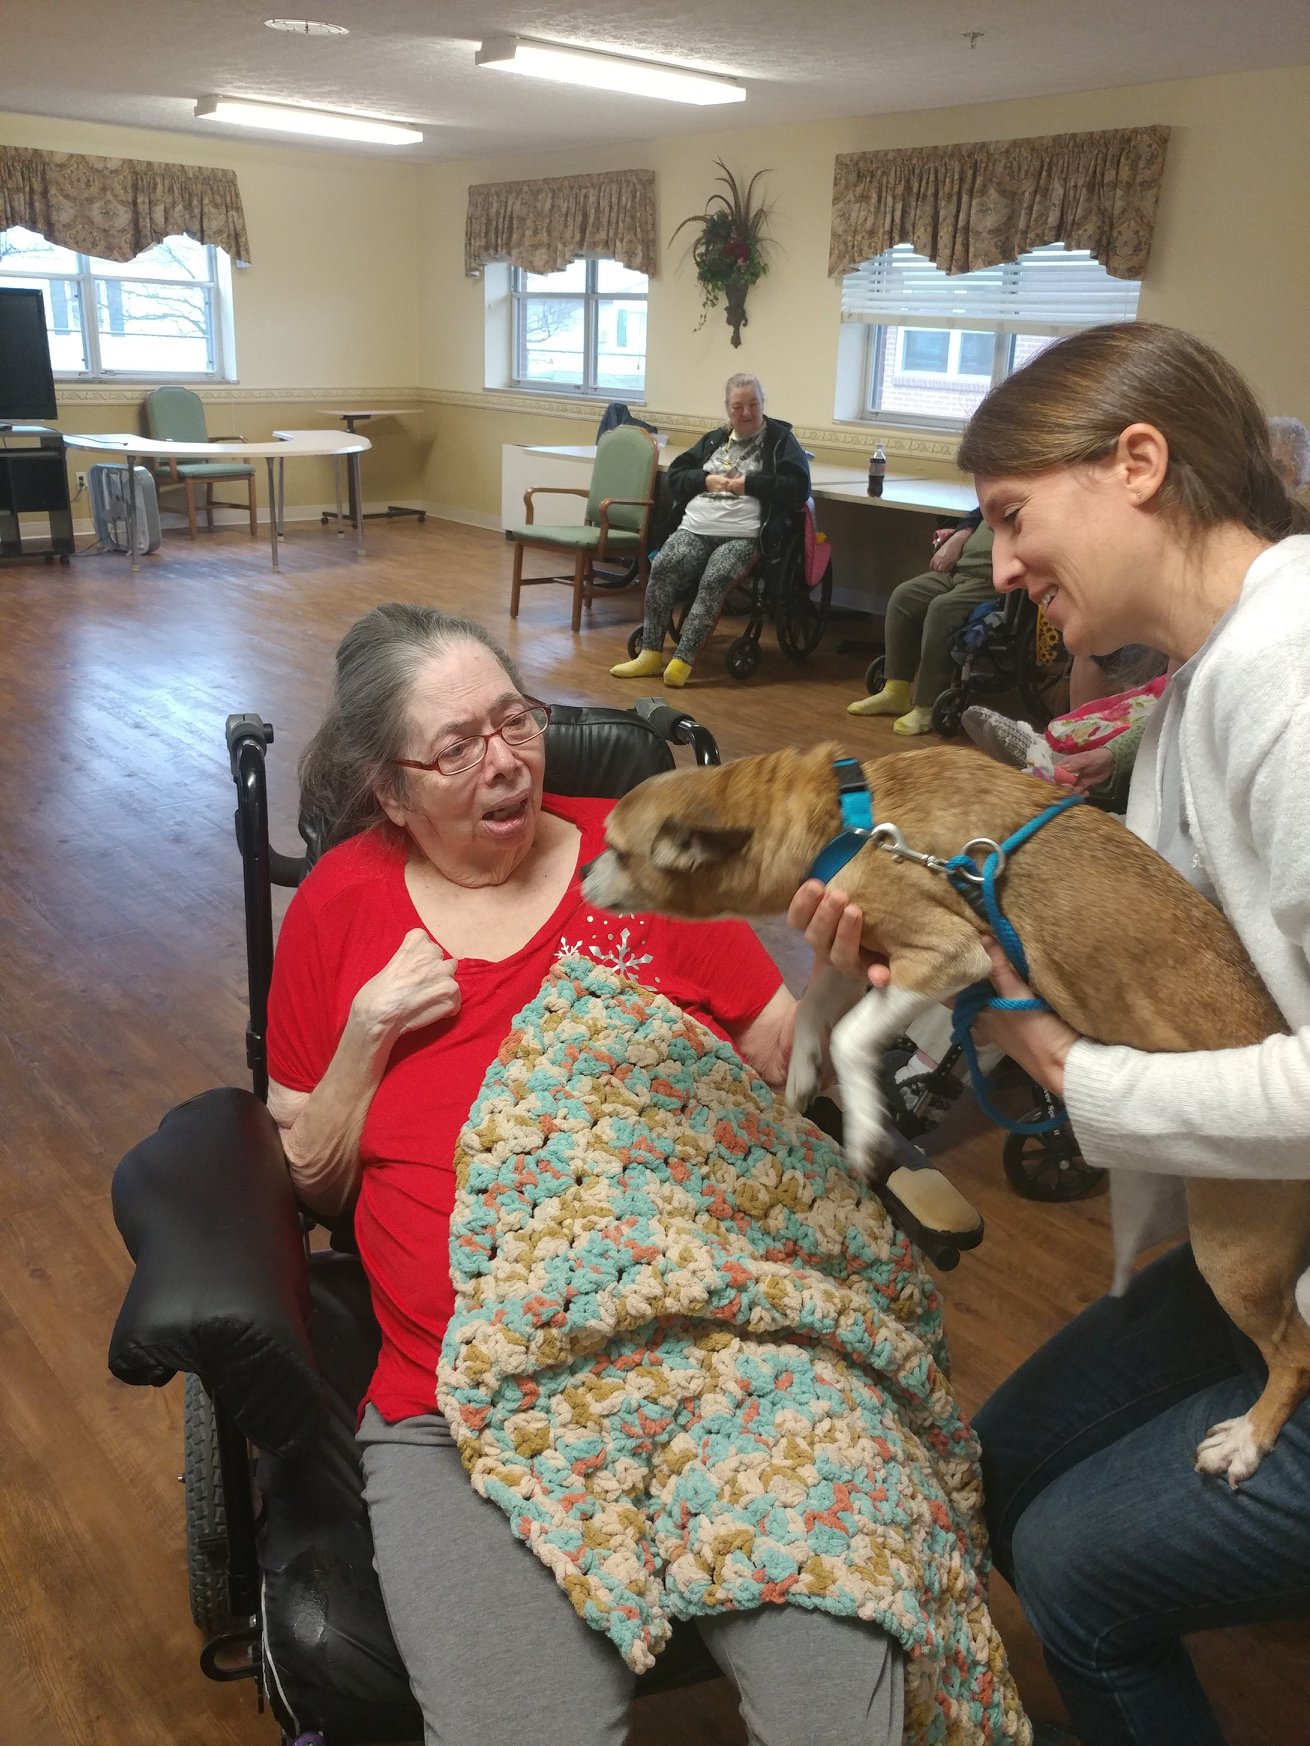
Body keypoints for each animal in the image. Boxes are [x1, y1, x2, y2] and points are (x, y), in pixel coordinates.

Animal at [583, 740, 1310, 1487]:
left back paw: (1246, 1438)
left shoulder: (949, 953)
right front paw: (805, 1075)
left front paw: (865, 1124)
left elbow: (850, 1037)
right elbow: (817, 1007)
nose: (580, 874)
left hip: (1235, 1259)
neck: (836, 815)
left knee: (1295, 1353)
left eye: (615, 850)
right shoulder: (862, 952)